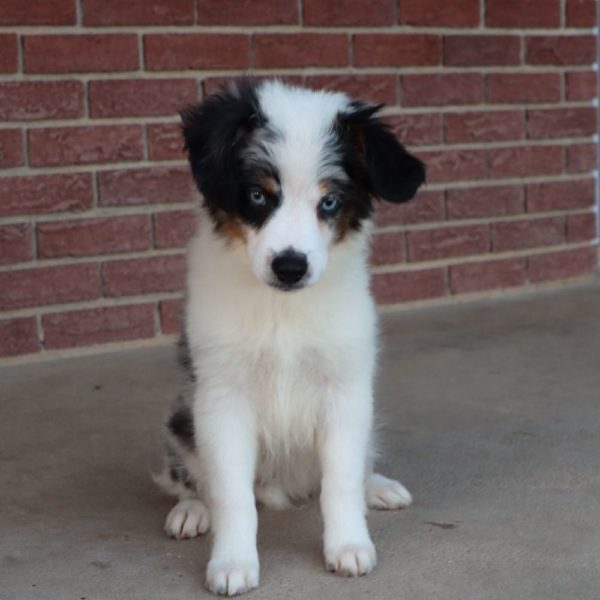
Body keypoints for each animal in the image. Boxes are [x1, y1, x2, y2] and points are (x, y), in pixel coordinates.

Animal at [156, 78, 426, 596]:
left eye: (330, 202)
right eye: (259, 197)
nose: (290, 266)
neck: (282, 309)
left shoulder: (345, 387)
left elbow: (341, 480)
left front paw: (349, 546)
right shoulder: (222, 394)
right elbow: (232, 493)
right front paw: (233, 562)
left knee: (354, 467)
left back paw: (378, 487)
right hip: (182, 418)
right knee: (191, 476)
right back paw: (191, 511)